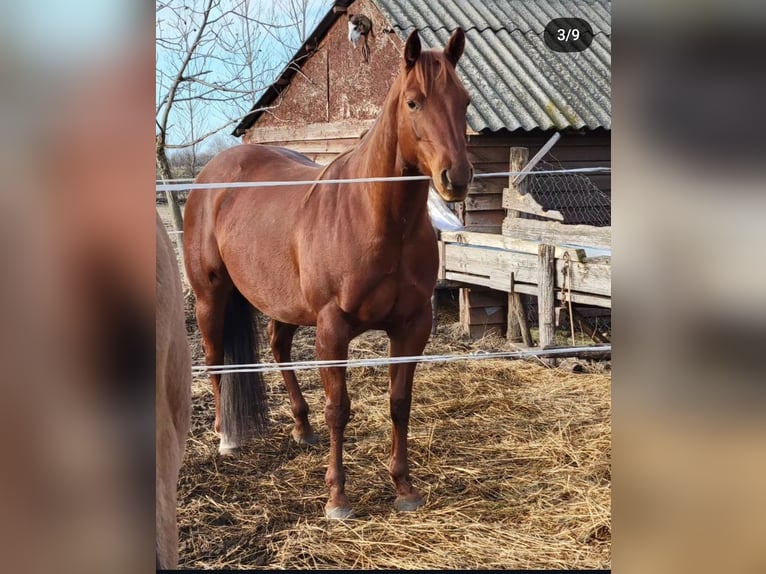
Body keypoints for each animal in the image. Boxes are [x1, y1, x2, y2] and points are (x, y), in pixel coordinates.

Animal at [186, 29, 474, 520]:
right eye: (414, 102)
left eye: (466, 101)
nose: (456, 177)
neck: (376, 218)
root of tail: (210, 177)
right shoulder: (332, 328)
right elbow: (339, 408)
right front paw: (338, 497)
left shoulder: (412, 326)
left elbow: (400, 403)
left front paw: (404, 487)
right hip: (211, 297)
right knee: (215, 359)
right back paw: (226, 437)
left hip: (281, 302)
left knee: (278, 346)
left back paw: (301, 427)